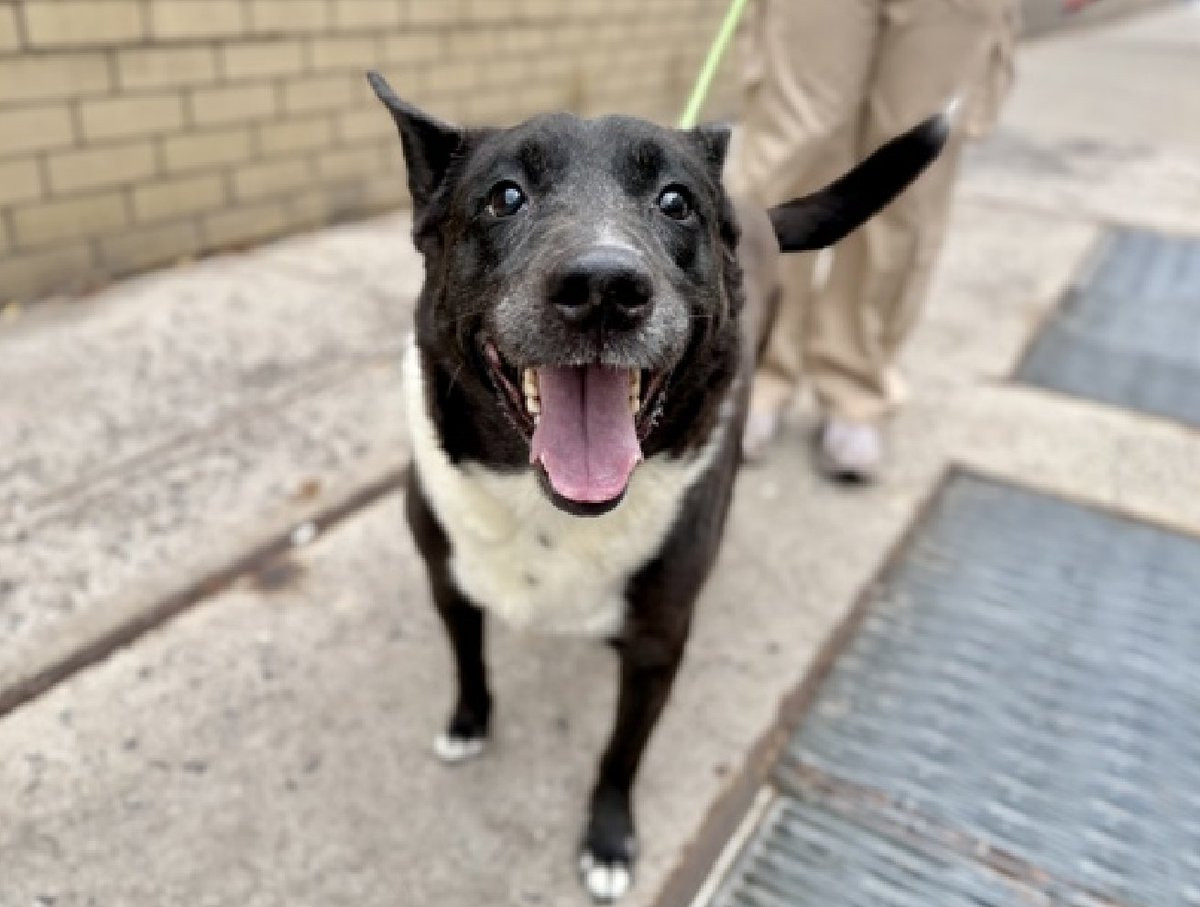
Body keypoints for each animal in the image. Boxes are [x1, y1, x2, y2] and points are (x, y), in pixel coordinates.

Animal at [368, 70, 948, 903]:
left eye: (674, 202)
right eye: (504, 196)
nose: (604, 286)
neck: (549, 507)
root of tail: (753, 208)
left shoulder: (656, 646)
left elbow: (621, 753)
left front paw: (609, 839)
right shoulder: (448, 582)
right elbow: (469, 661)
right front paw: (469, 722)